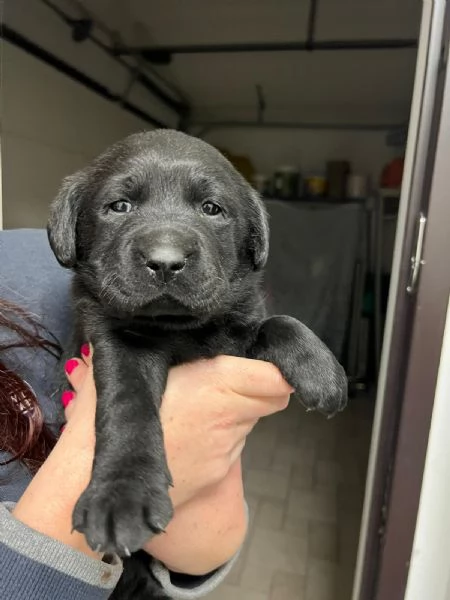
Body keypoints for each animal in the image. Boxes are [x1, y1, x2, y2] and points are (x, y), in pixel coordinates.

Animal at [46, 129, 348, 596]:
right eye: (120, 206)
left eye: (211, 209)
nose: (166, 261)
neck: (178, 328)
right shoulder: (112, 341)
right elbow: (127, 406)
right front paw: (122, 496)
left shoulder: (235, 338)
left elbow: (275, 322)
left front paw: (322, 370)